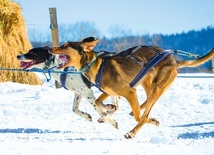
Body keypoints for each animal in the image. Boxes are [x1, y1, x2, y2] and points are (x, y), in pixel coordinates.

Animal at [49, 37, 214, 139]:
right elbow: (99, 102)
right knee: (144, 105)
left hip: (157, 88)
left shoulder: (130, 92)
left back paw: (133, 131)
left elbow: (138, 117)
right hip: (147, 84)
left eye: (65, 46)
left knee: (143, 115)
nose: (50, 49)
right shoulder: (108, 91)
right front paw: (108, 109)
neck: (95, 65)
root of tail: (174, 60)